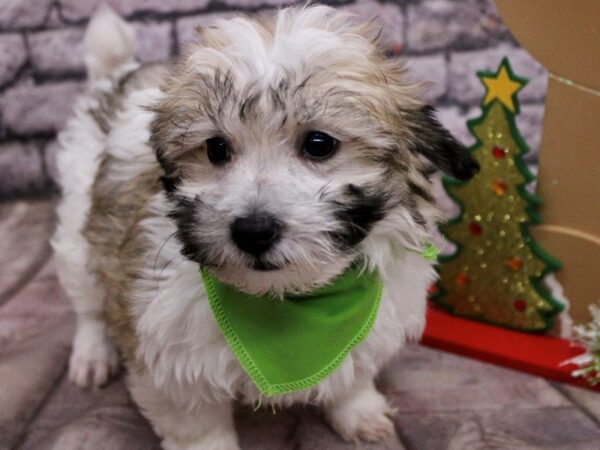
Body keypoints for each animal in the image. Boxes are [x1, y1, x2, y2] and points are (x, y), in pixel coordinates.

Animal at [51, 4, 478, 450]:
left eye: (319, 144)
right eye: (215, 148)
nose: (252, 231)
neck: (286, 299)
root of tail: (120, 74)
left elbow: (353, 371)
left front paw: (357, 409)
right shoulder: (166, 345)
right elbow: (195, 421)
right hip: (78, 221)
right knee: (88, 298)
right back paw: (93, 353)